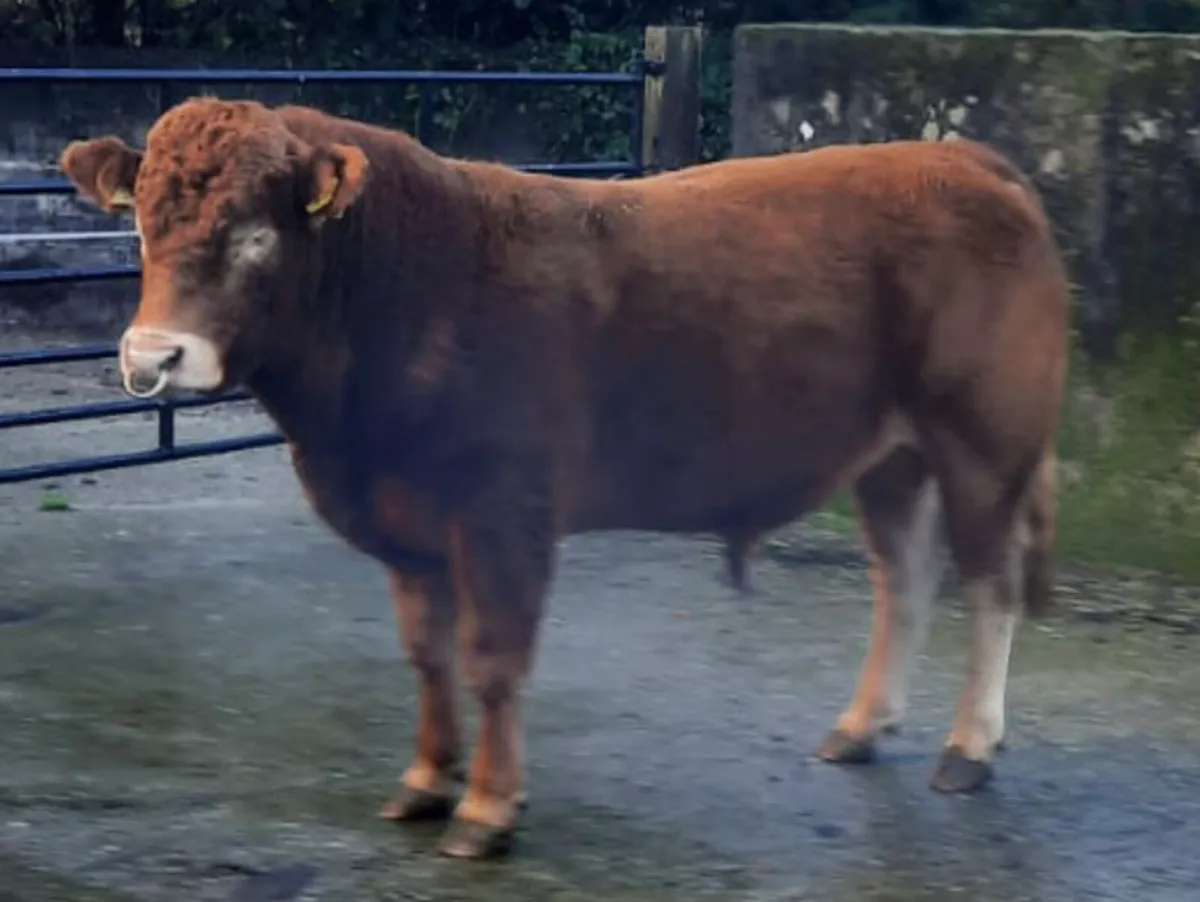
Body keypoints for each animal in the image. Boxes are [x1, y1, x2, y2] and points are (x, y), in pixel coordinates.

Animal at [60, 97, 1068, 861]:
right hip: (890, 455)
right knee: (904, 578)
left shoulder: (504, 512)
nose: (152, 356)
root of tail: (965, 158)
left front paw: (486, 811)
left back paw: (968, 746)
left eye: (257, 235)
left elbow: (493, 660)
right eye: (140, 222)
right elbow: (428, 655)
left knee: (989, 586)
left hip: (983, 440)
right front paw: (427, 779)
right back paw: (862, 727)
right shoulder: (410, 528)